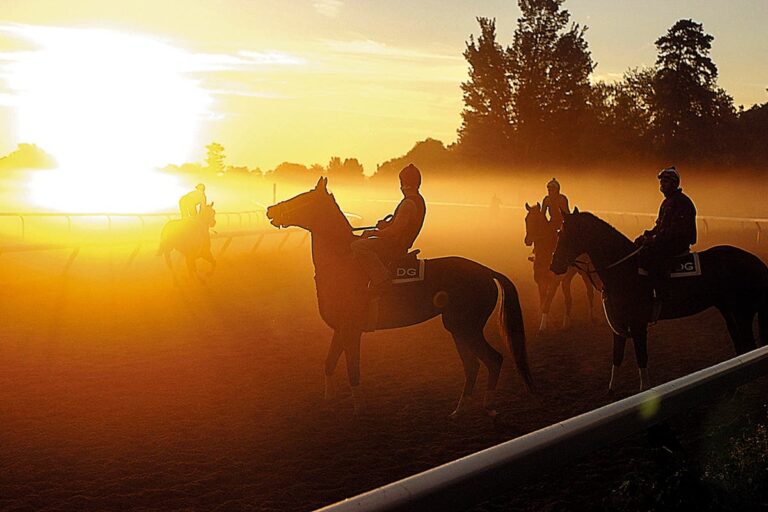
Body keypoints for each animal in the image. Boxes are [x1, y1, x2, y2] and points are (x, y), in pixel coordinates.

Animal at [266, 177, 532, 417]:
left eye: (302, 198)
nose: (270, 210)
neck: (344, 265)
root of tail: (486, 270)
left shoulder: (352, 331)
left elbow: (353, 370)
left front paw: (359, 410)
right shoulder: (340, 329)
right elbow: (329, 363)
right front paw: (329, 401)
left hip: (466, 327)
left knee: (493, 359)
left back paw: (487, 406)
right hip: (456, 328)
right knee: (473, 365)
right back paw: (459, 410)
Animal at [524, 202, 599, 332]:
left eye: (537, 220)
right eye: (526, 219)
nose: (527, 240)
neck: (547, 251)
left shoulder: (554, 281)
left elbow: (547, 301)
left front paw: (543, 326)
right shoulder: (540, 280)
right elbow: (543, 301)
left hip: (585, 273)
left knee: (590, 292)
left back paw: (592, 318)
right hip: (567, 277)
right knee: (568, 298)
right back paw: (566, 323)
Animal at [551, 208, 768, 392]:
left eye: (564, 234)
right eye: (558, 233)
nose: (554, 265)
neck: (625, 269)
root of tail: (758, 263)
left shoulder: (638, 324)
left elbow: (641, 357)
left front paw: (644, 389)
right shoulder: (618, 324)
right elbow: (617, 357)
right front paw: (612, 392)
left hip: (743, 312)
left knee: (749, 345)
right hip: (728, 311)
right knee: (740, 345)